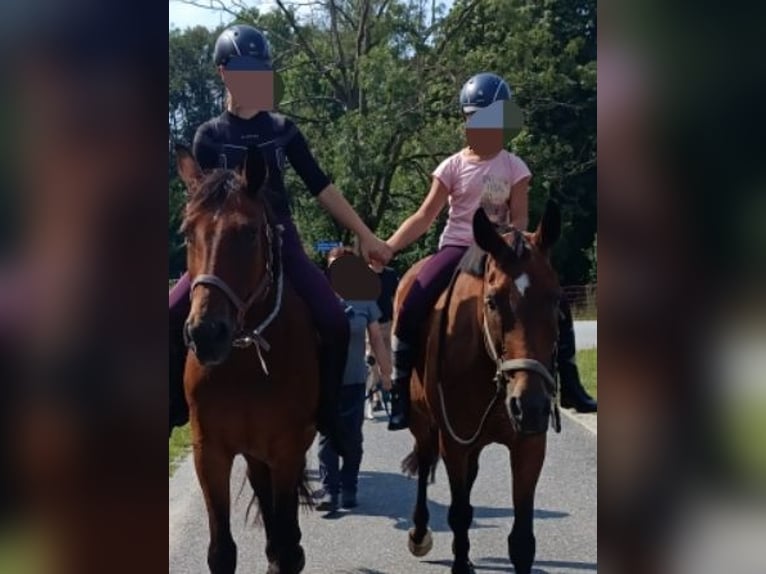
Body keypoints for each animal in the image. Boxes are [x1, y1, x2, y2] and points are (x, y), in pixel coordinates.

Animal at [176, 145, 318, 574]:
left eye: (249, 232)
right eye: (187, 233)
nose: (206, 333)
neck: (244, 363)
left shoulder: (287, 449)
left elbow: (286, 544)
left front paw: (287, 552)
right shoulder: (210, 453)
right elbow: (221, 551)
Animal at [396, 201, 564, 574]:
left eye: (555, 299)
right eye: (493, 301)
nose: (530, 406)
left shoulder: (529, 445)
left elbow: (522, 541)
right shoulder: (453, 442)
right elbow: (458, 514)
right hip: (422, 423)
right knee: (425, 463)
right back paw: (418, 533)